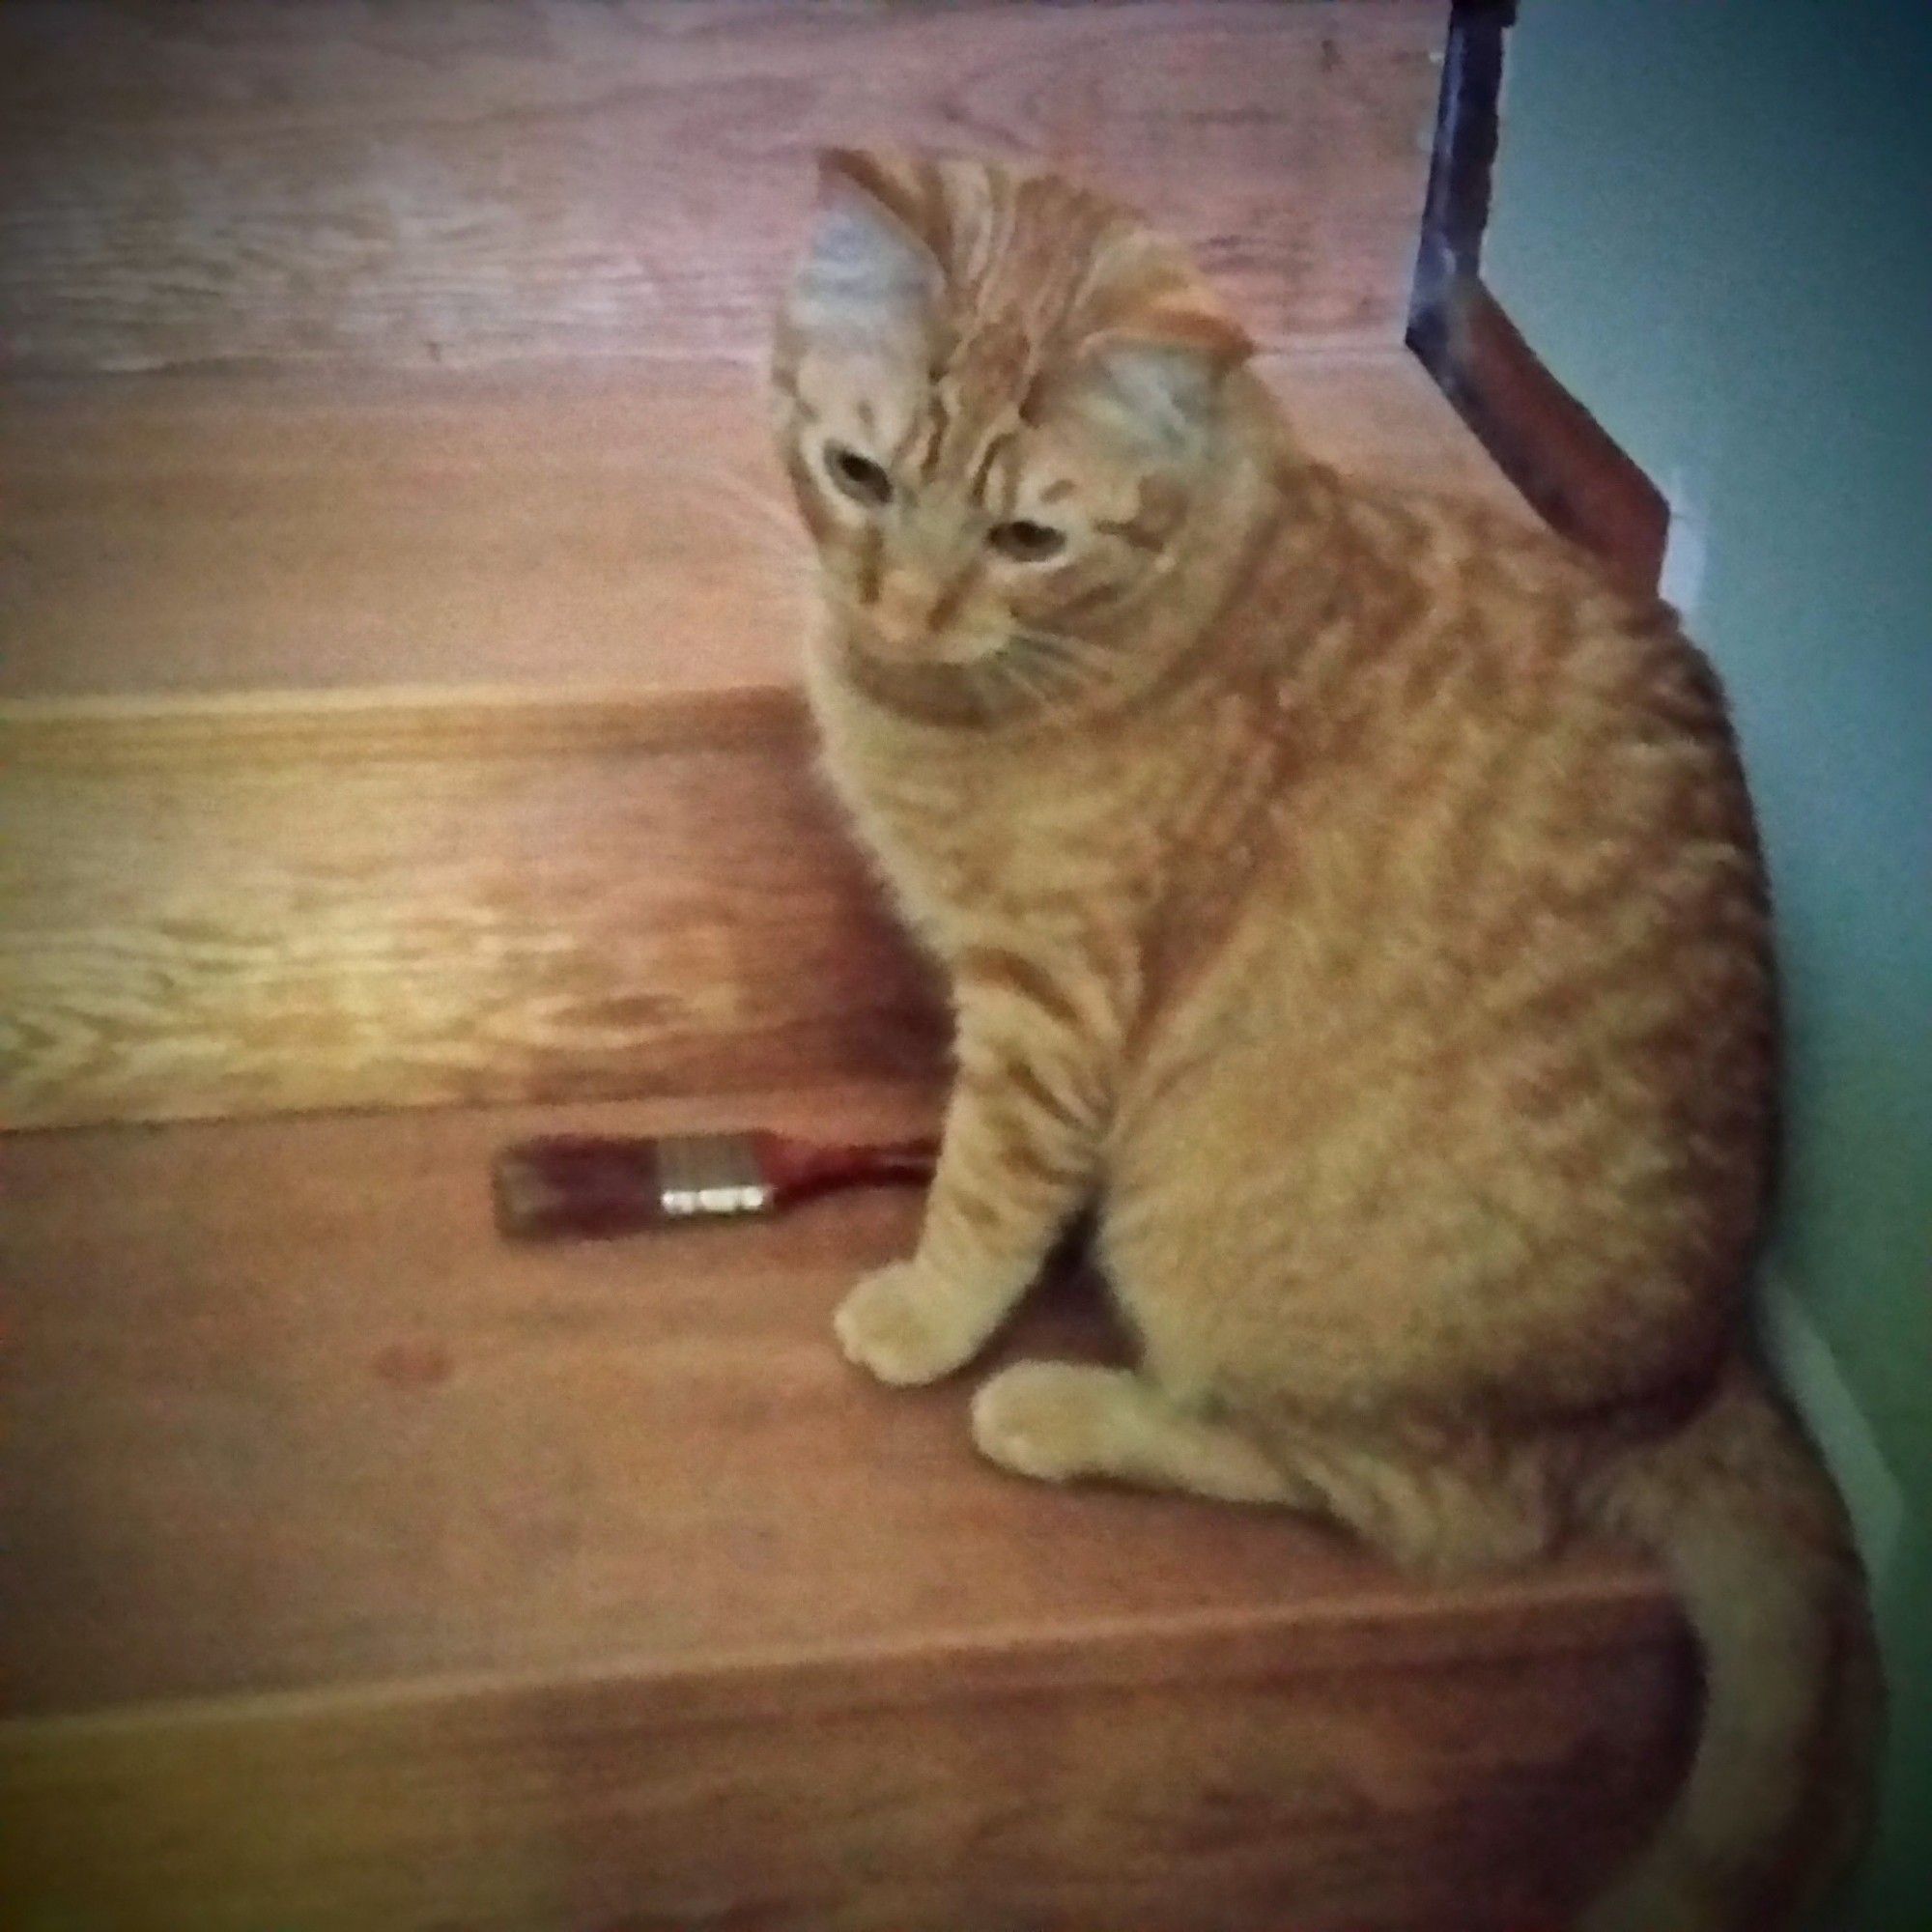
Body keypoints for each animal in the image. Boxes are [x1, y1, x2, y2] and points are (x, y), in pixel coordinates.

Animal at [773, 155, 1886, 1932]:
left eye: (1027, 536)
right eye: (860, 476)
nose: (906, 604)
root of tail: (1689, 1379)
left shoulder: (1048, 1003)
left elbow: (988, 1187)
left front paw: (935, 1310)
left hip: (1205, 1229)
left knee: (1418, 1509)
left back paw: (1064, 1412)